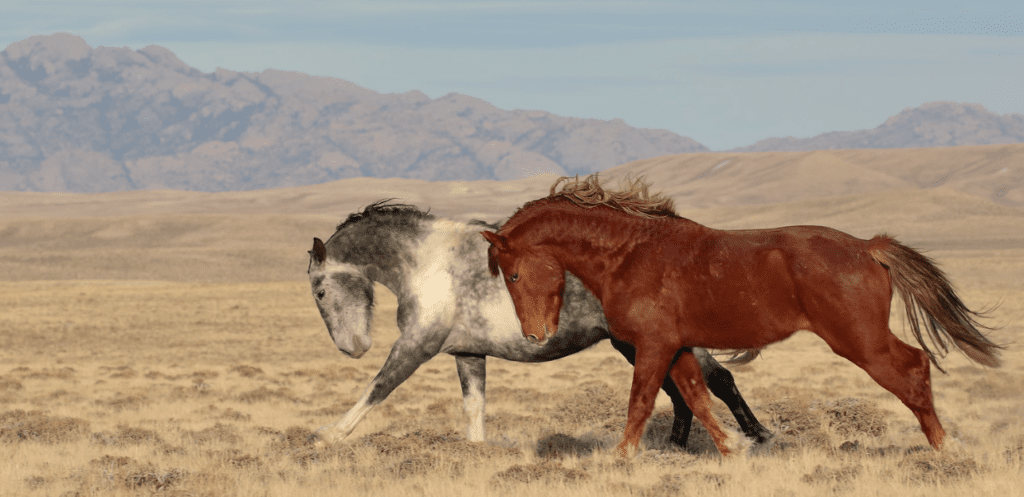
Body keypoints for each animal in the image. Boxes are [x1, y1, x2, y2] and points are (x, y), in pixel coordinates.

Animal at [307, 199, 770, 446]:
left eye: (319, 292)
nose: (353, 347)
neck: (427, 262)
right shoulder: (468, 353)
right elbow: (474, 408)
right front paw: (477, 451)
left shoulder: (416, 345)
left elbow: (378, 387)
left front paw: (328, 435)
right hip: (638, 343)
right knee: (680, 390)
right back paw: (675, 448)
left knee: (718, 379)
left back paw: (758, 436)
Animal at [483, 174, 1003, 457]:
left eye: (512, 273)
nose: (535, 335)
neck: (631, 254)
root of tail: (868, 247)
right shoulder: (677, 346)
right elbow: (696, 397)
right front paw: (738, 446)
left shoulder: (652, 345)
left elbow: (642, 403)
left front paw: (620, 459)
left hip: (860, 340)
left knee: (913, 369)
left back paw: (945, 448)